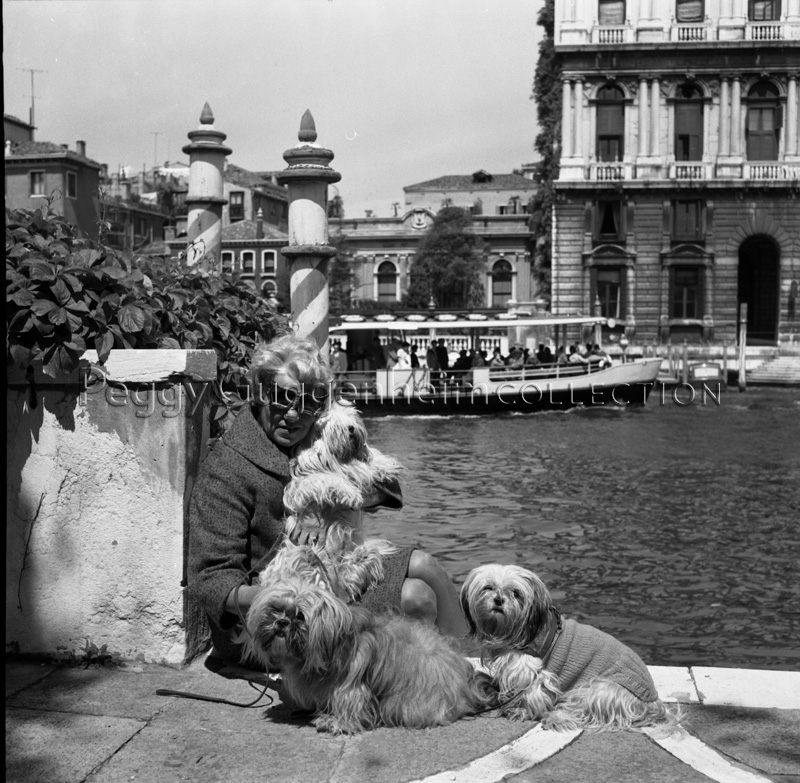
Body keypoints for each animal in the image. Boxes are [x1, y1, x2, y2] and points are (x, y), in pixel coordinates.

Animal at [243, 575, 497, 734]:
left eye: (300, 616)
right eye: (275, 609)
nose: (281, 623)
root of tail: (466, 683)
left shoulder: (351, 684)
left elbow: (350, 702)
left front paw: (336, 722)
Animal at [460, 564, 678, 732]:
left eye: (516, 593)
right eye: (488, 587)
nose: (498, 599)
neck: (517, 630)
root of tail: (652, 702)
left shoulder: (533, 671)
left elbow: (529, 693)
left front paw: (519, 711)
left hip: (599, 689)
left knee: (583, 712)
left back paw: (557, 718)